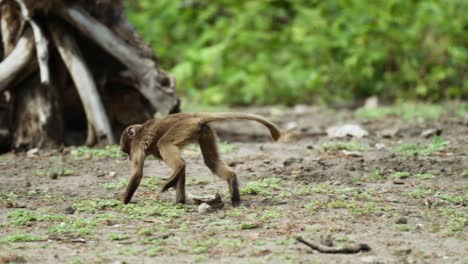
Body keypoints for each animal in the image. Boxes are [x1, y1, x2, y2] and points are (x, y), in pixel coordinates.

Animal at [120, 111, 282, 206]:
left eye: (126, 150)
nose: (128, 157)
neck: (140, 130)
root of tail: (193, 116)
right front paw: (180, 201)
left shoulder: (137, 145)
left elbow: (137, 174)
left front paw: (124, 201)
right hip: (204, 131)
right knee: (210, 161)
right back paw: (232, 185)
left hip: (182, 127)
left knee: (166, 146)